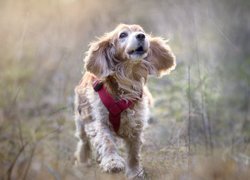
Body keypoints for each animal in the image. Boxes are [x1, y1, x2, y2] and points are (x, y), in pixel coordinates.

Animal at [74, 23, 176, 179]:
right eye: (122, 35)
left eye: (142, 31)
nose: (141, 36)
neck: (126, 79)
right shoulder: (100, 121)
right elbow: (107, 142)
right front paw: (113, 162)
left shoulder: (136, 125)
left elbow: (133, 153)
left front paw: (135, 172)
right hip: (81, 120)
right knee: (83, 142)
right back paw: (83, 162)